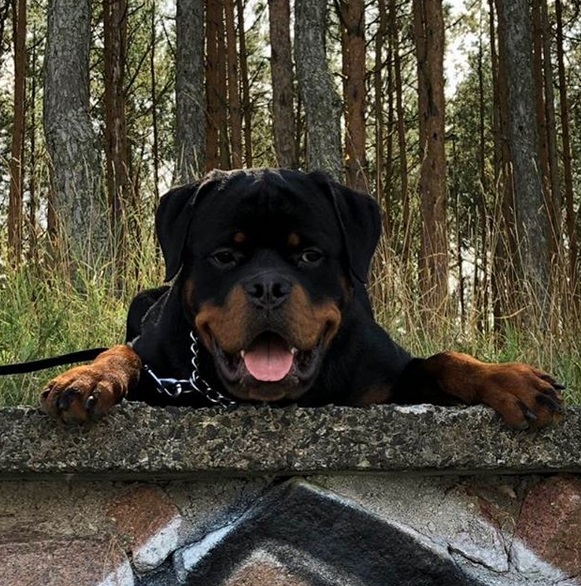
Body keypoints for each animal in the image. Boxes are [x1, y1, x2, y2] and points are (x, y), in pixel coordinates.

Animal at [39, 167, 560, 426]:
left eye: (309, 254)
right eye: (225, 255)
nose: (268, 286)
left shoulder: (389, 376)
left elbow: (443, 361)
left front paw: (508, 379)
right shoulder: (159, 363)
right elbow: (122, 354)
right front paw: (84, 378)